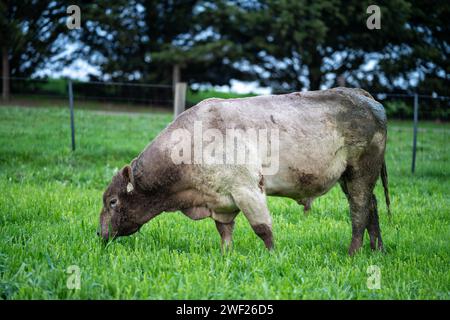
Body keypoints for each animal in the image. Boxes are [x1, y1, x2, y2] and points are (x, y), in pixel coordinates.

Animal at [98, 87, 390, 255]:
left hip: (360, 172)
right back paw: (377, 250)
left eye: (113, 201)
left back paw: (353, 252)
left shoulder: (247, 190)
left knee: (359, 211)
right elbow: (225, 231)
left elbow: (263, 228)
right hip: (350, 177)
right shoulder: (220, 200)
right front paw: (226, 256)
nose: (100, 234)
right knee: (372, 206)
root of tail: (362, 95)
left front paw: (273, 256)